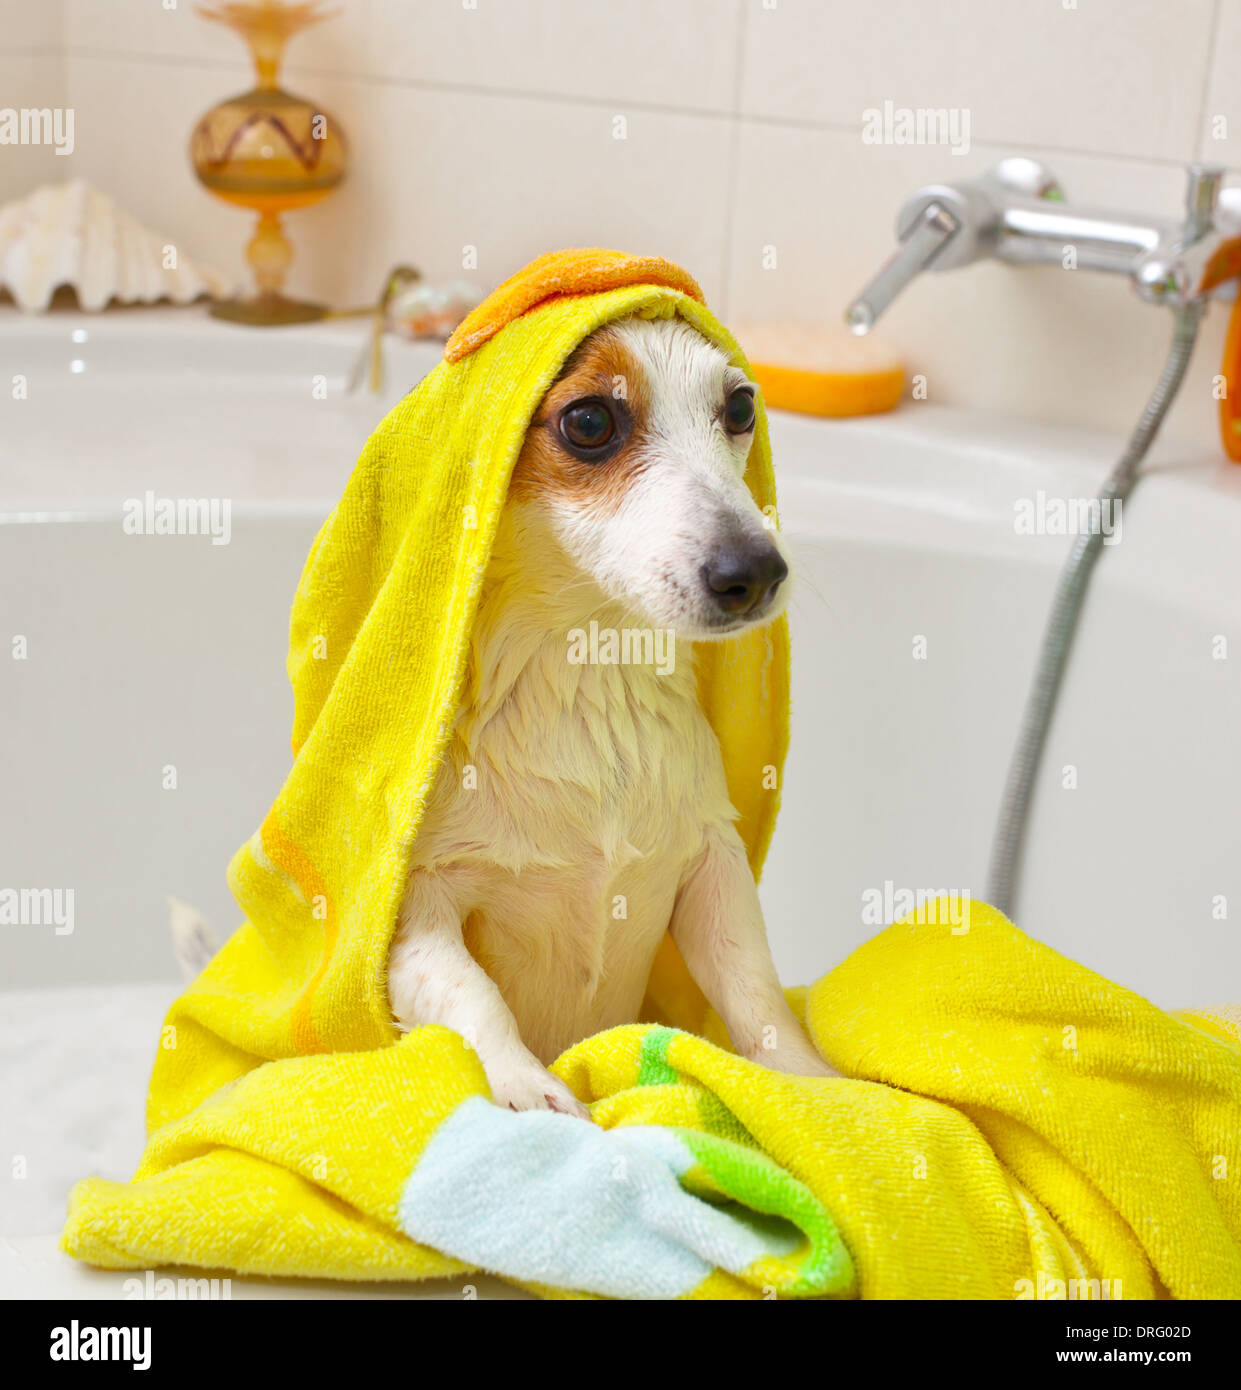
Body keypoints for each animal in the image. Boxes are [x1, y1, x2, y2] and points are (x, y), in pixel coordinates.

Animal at [386, 318, 833, 1117]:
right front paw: (525, 1086)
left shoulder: (712, 865)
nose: (754, 571)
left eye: (740, 406)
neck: (588, 684)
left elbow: (754, 990)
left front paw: (805, 1083)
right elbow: (472, 992)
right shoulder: (417, 913)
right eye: (589, 422)